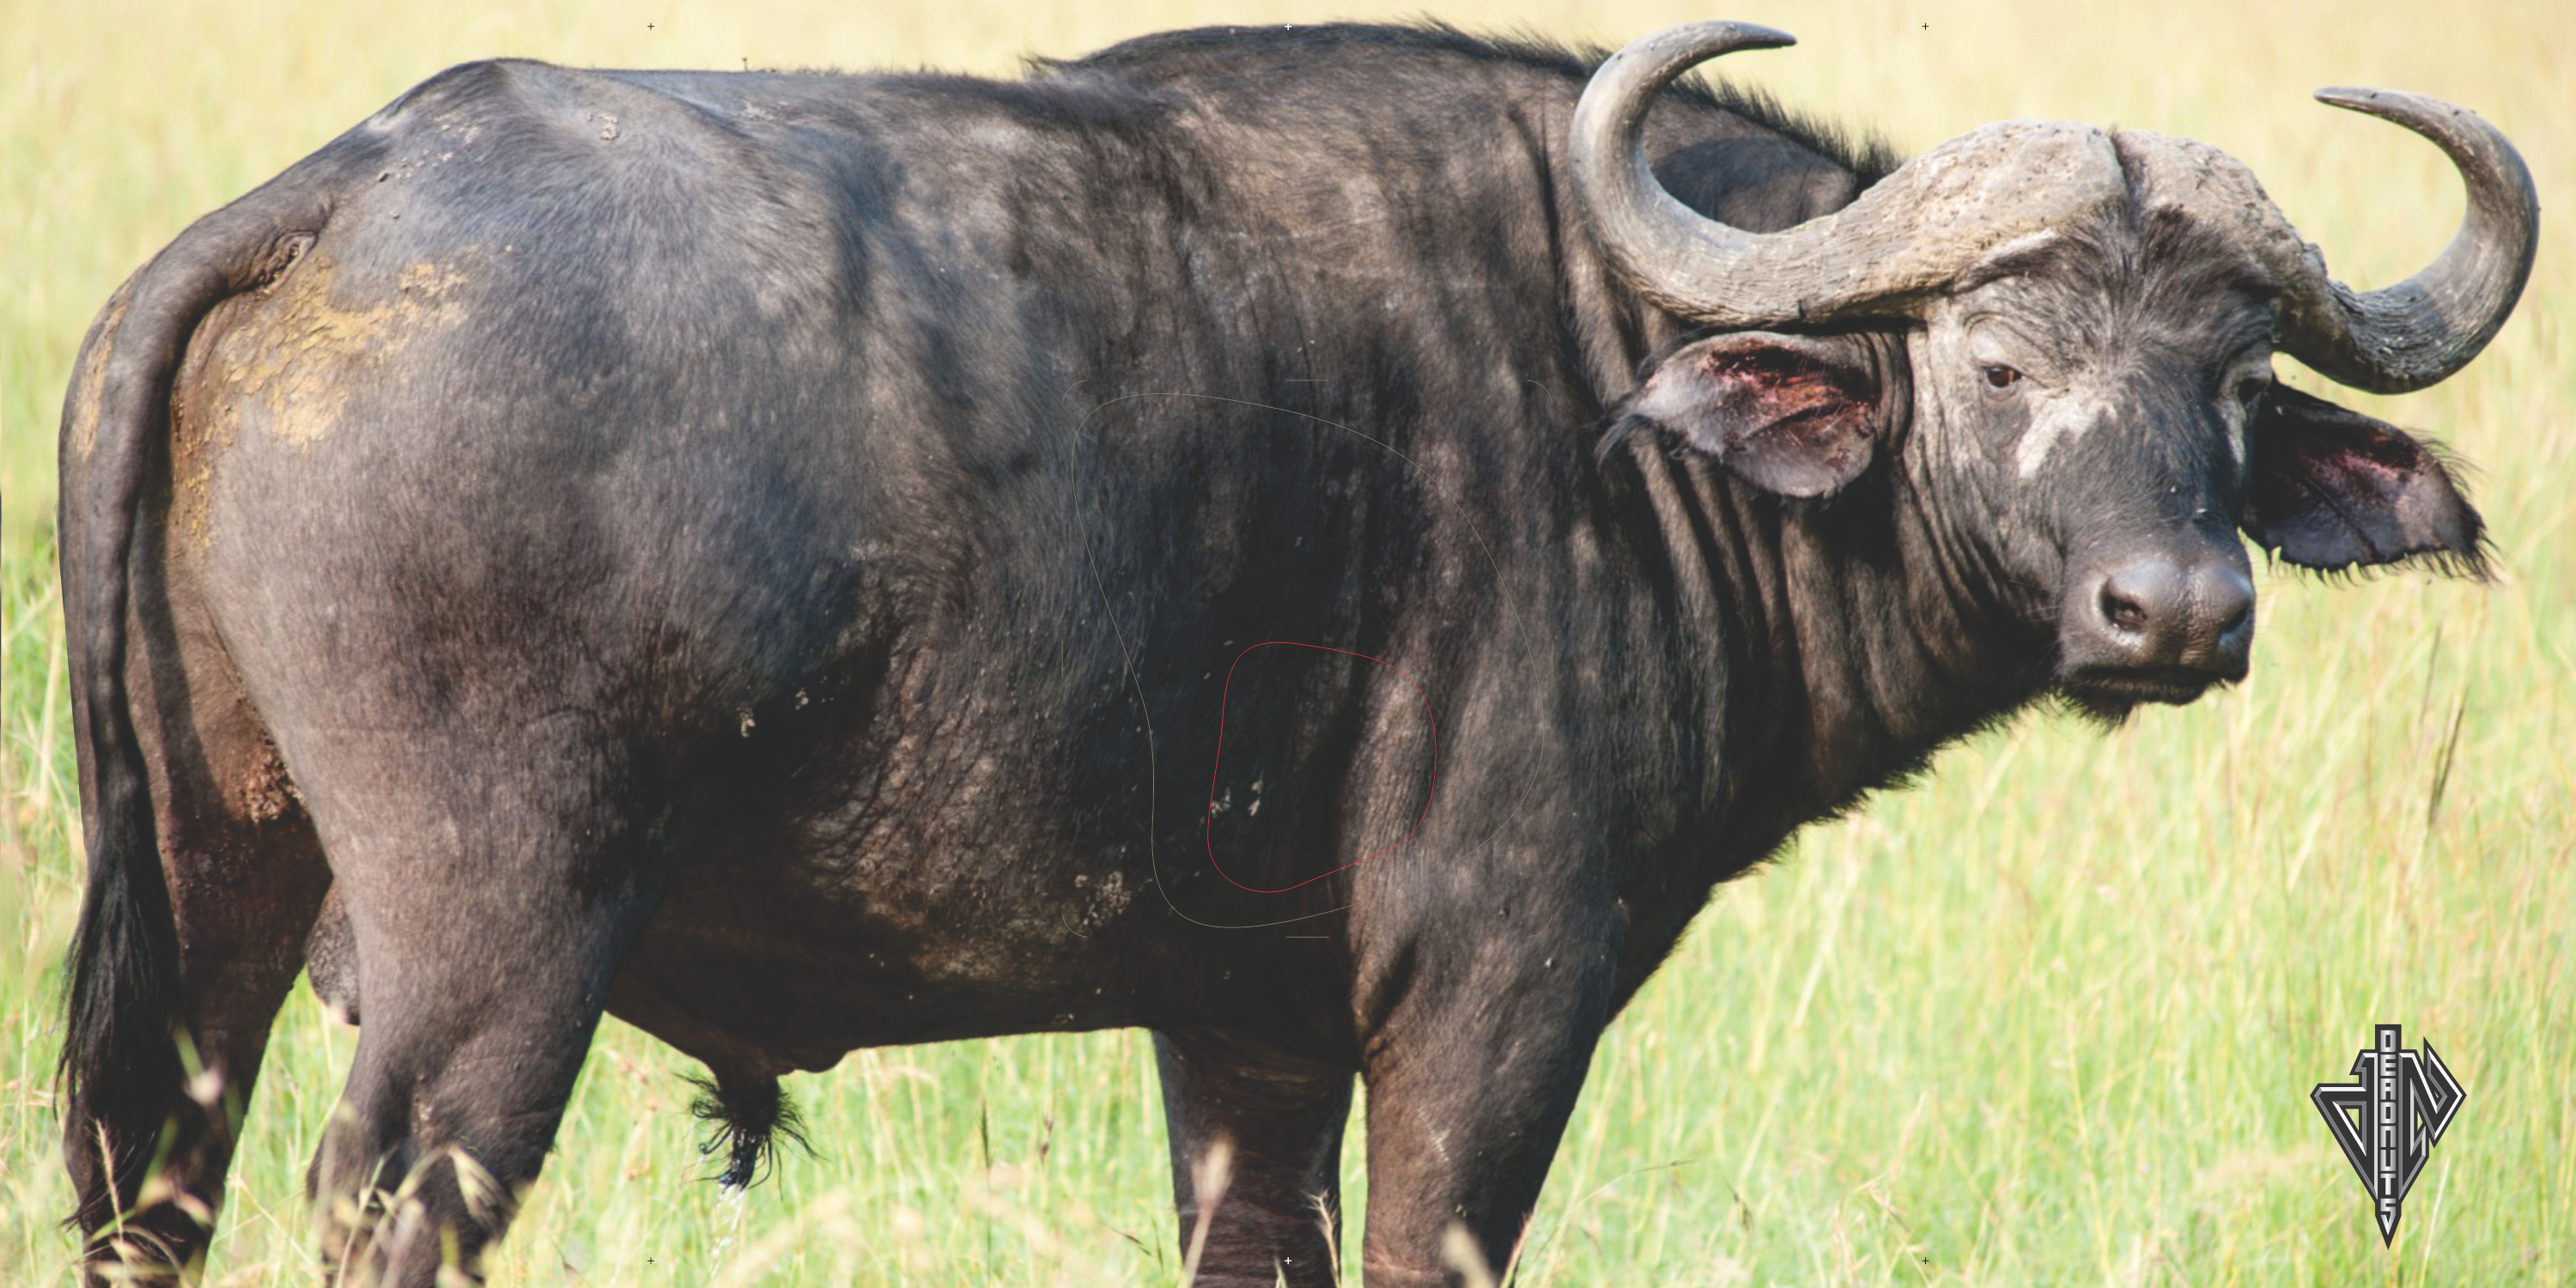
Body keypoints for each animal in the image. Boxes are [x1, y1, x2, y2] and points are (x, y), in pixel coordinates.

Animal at [56, 19, 2533, 1286]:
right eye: (2000, 362)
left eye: (2233, 385)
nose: (2177, 611)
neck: (1613, 391)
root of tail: (346, 195)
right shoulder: (1489, 999)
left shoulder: (1243, 1036)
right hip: (485, 968)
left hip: (205, 914)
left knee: (149, 1186)